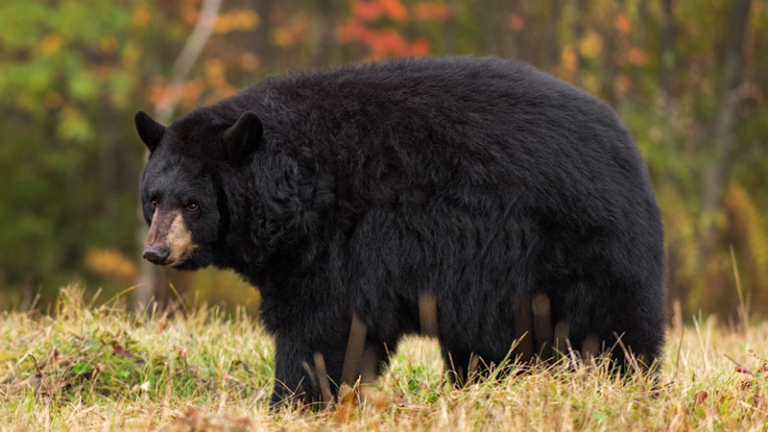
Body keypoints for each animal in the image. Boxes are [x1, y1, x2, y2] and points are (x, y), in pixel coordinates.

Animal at [135, 56, 666, 405]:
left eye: (193, 203)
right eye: (153, 198)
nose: (156, 251)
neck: (298, 191)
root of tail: (629, 152)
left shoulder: (341, 243)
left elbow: (320, 325)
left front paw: (293, 398)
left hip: (575, 249)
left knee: (615, 329)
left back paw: (632, 386)